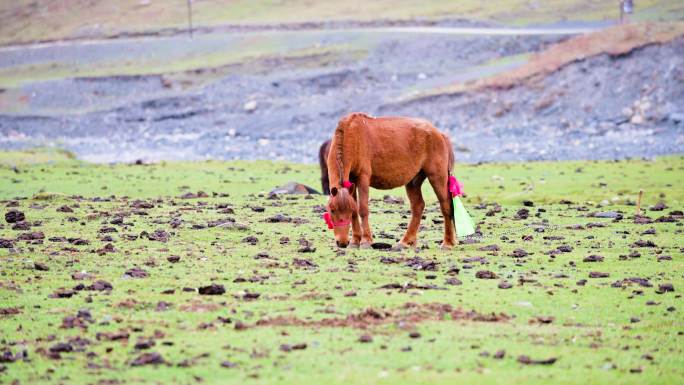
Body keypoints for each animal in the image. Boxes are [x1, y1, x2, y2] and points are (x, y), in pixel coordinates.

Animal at [324, 112, 456, 248]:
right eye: (332, 210)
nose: (342, 242)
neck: (352, 135)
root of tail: (439, 134)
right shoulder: (351, 182)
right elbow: (355, 211)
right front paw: (355, 241)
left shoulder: (363, 178)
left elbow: (363, 209)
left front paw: (366, 240)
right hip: (413, 182)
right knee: (418, 207)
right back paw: (405, 241)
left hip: (437, 176)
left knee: (445, 205)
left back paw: (447, 243)